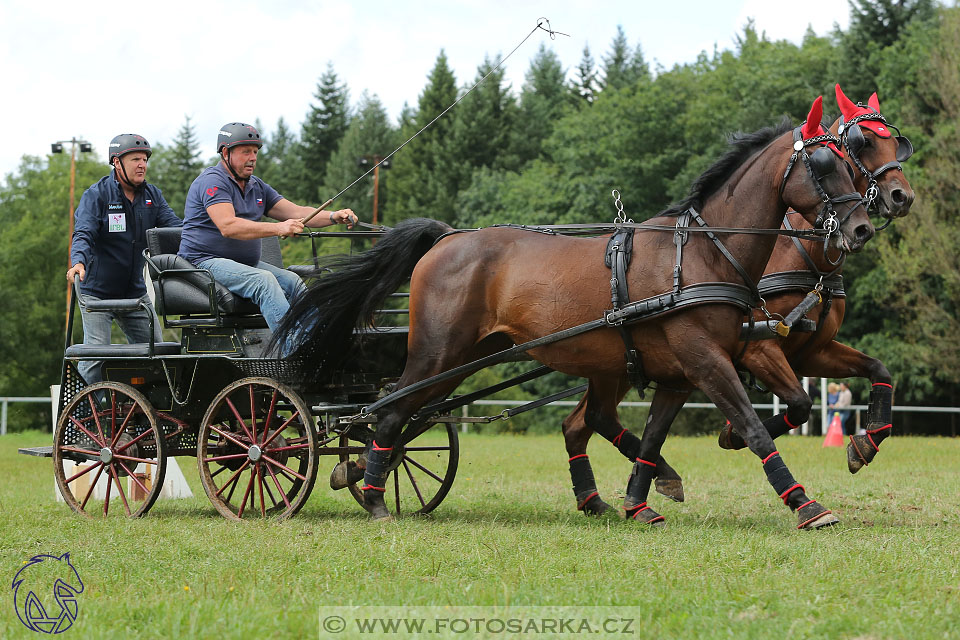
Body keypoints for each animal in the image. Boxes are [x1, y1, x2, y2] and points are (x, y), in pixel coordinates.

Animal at [274, 95, 872, 524]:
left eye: (851, 163)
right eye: (824, 166)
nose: (864, 227)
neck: (703, 253)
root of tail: (447, 238)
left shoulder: (681, 373)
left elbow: (652, 439)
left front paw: (639, 502)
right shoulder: (707, 361)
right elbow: (751, 427)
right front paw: (806, 504)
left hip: (477, 359)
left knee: (412, 415)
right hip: (438, 353)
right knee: (390, 412)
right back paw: (373, 495)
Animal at [564, 86, 916, 516]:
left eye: (896, 144)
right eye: (862, 142)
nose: (902, 196)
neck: (800, 254)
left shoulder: (812, 351)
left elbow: (877, 370)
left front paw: (865, 443)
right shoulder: (758, 349)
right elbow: (797, 404)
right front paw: (734, 435)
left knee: (582, 421)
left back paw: (608, 493)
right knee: (592, 418)